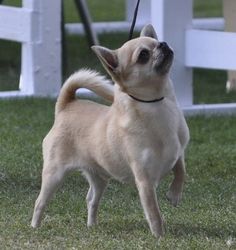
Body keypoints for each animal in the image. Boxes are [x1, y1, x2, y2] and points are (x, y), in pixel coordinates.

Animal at [31, 24, 190, 238]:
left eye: (157, 42)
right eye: (143, 55)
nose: (163, 44)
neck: (158, 105)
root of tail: (66, 106)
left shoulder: (178, 152)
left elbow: (181, 170)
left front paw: (174, 194)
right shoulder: (145, 181)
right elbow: (153, 212)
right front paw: (159, 236)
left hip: (99, 177)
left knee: (91, 199)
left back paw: (92, 225)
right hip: (54, 174)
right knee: (40, 202)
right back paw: (35, 226)